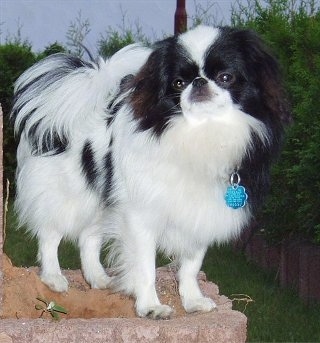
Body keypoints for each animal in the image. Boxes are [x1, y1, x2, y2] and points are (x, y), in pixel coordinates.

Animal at [11, 26, 290, 320]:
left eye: (226, 77)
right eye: (178, 83)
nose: (199, 82)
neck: (201, 132)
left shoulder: (199, 213)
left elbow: (191, 265)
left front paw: (192, 301)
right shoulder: (140, 216)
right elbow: (145, 267)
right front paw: (150, 307)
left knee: (89, 237)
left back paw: (98, 278)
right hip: (68, 195)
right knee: (50, 233)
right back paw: (53, 277)